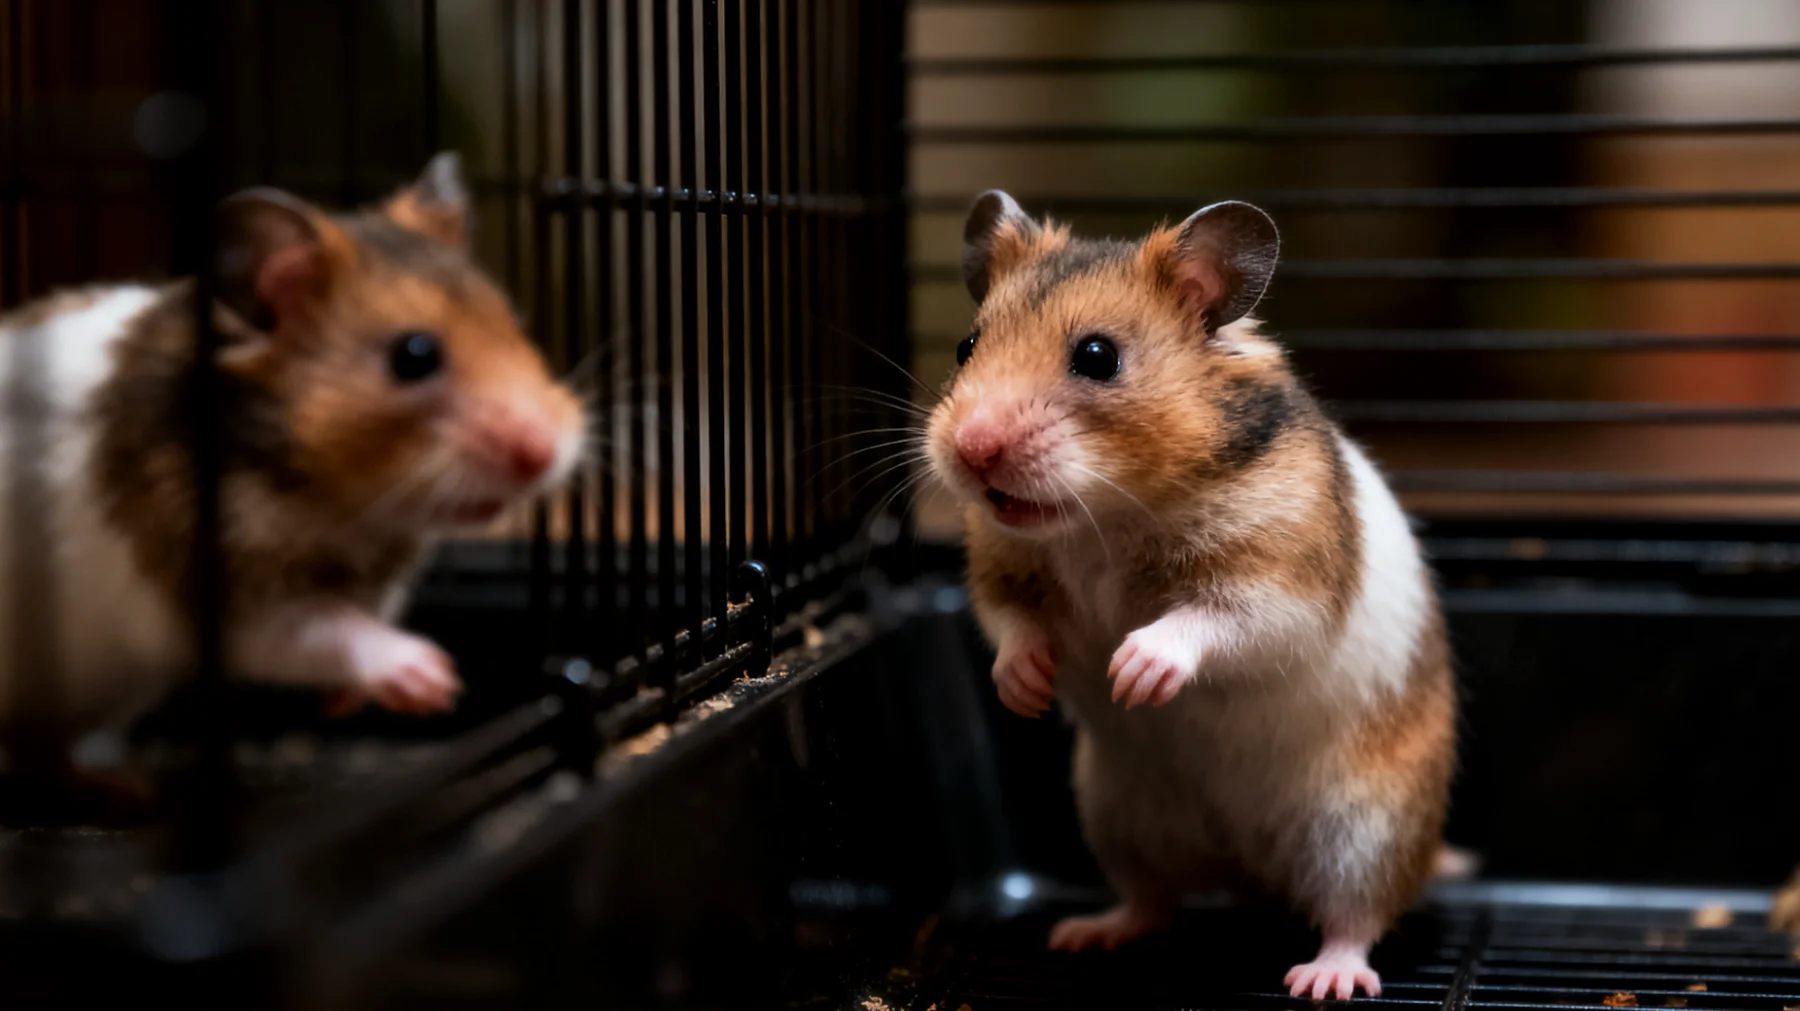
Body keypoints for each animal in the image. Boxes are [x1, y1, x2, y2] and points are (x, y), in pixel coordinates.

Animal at [0, 152, 585, 798]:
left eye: (514, 323)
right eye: (414, 355)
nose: (546, 452)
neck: (330, 504)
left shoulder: (373, 582)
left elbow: (358, 615)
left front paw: (348, 704)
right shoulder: (225, 592)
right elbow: (324, 629)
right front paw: (432, 680)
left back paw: (122, 785)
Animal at [924, 191, 1456, 1001]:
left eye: (1098, 357)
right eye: (965, 346)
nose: (971, 449)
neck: (1106, 517)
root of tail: (1246, 872)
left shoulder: (1281, 580)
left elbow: (1213, 621)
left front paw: (1132, 673)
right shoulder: (999, 564)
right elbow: (1007, 621)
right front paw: (1027, 689)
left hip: (1365, 828)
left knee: (1355, 916)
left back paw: (1322, 980)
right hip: (1122, 818)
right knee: (1155, 899)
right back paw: (1087, 933)